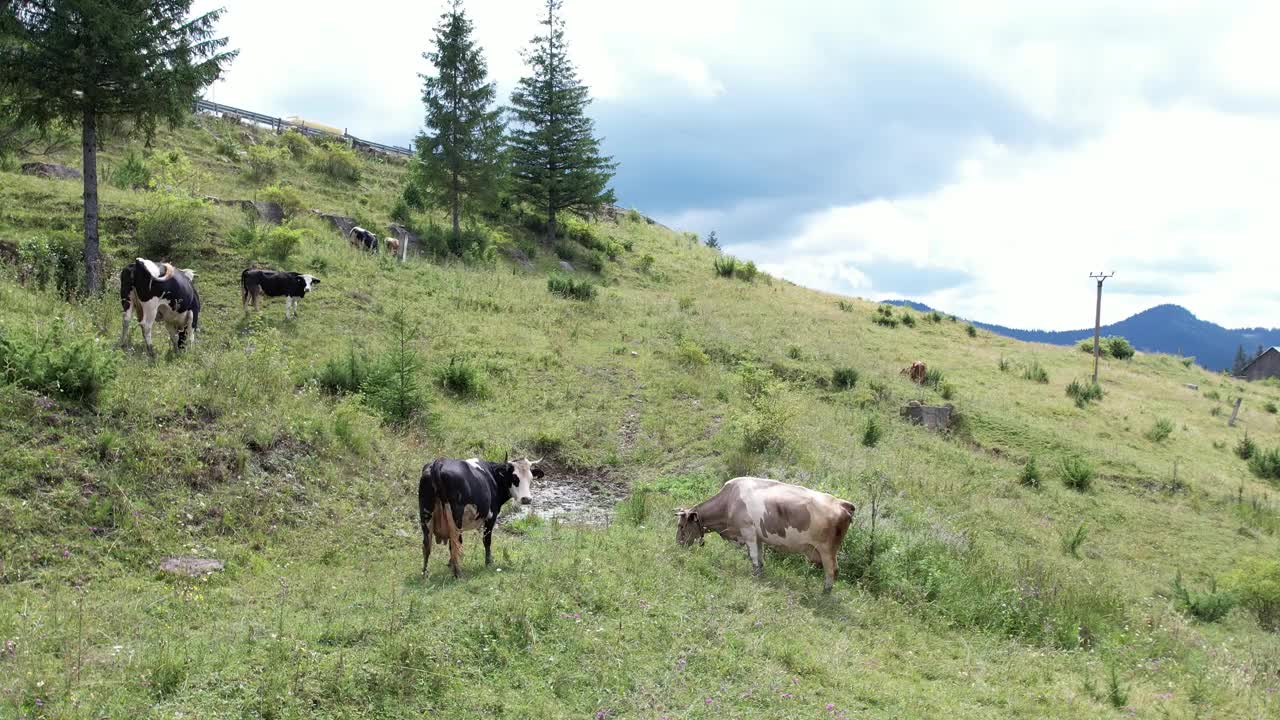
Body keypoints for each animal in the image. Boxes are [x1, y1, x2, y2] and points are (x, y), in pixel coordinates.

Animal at [675, 476, 855, 589]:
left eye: (681, 526)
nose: (678, 544)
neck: (730, 501)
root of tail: (842, 503)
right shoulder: (758, 536)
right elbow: (760, 558)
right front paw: (761, 573)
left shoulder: (747, 531)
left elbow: (753, 556)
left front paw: (755, 576)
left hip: (827, 550)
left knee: (832, 571)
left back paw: (825, 594)